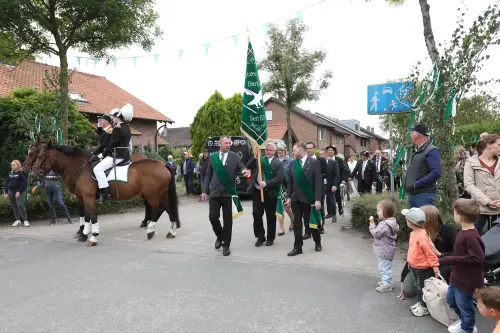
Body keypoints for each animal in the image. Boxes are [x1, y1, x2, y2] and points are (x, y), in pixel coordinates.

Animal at [23, 139, 181, 245]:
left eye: (39, 156)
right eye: (35, 155)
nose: (31, 174)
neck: (81, 168)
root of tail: (163, 164)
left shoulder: (88, 197)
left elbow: (91, 215)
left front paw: (92, 236)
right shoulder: (82, 197)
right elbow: (86, 215)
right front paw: (84, 234)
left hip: (152, 195)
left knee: (158, 209)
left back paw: (150, 230)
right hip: (161, 193)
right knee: (168, 208)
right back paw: (170, 232)